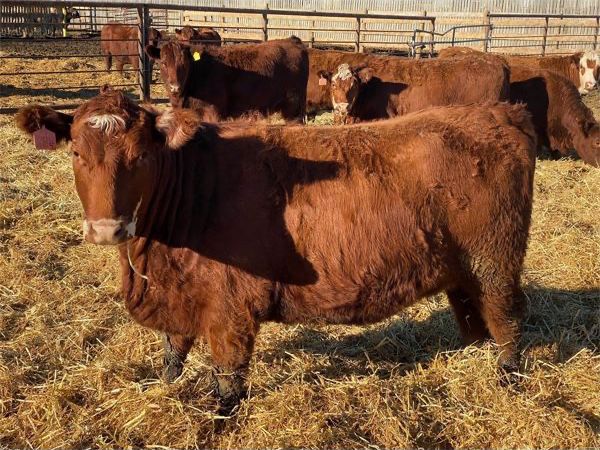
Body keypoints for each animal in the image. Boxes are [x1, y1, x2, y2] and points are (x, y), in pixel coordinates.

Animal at [16, 89, 537, 413]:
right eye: (76, 153)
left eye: (141, 156)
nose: (107, 229)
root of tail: (497, 112)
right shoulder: (181, 295)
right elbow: (172, 355)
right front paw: (166, 387)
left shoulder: (230, 309)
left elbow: (228, 379)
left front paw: (219, 417)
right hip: (461, 271)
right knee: (477, 319)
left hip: (495, 263)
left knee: (508, 318)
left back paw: (507, 377)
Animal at [145, 37, 309, 121]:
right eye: (163, 63)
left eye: (184, 64)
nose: (175, 87)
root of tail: (292, 40)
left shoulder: (212, 113)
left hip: (293, 108)